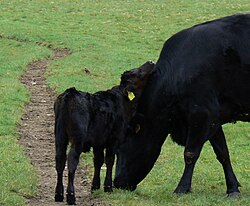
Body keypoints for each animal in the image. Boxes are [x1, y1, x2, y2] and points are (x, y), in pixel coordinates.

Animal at [53, 60, 154, 204]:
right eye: (138, 72)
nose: (150, 61)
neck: (124, 101)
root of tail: (70, 93)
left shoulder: (98, 141)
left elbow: (98, 161)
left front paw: (95, 186)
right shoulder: (114, 139)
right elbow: (110, 160)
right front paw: (108, 187)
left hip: (60, 135)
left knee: (59, 160)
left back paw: (59, 194)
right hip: (78, 138)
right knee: (72, 160)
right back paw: (71, 195)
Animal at [114, 13, 250, 197]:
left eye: (121, 146)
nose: (117, 182)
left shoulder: (202, 113)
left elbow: (190, 153)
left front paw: (182, 188)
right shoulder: (214, 117)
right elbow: (222, 153)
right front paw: (232, 188)